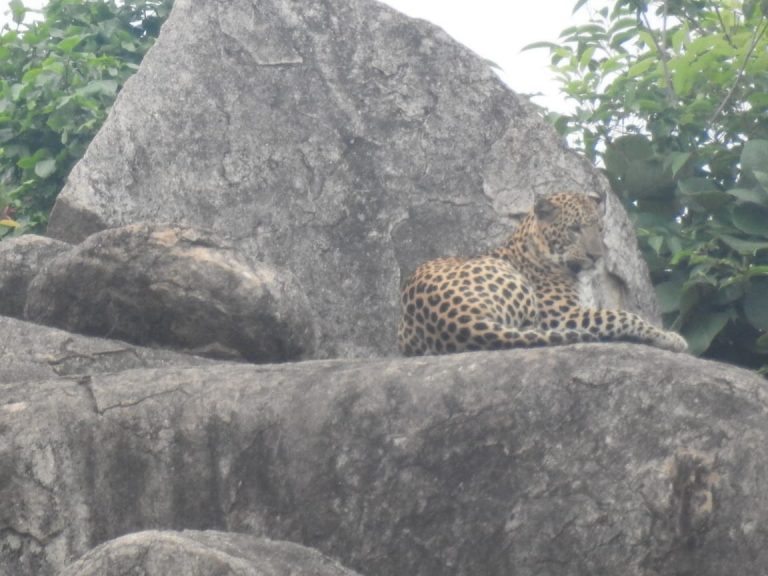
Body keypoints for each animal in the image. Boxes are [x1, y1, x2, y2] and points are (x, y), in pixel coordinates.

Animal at [398, 191, 688, 356]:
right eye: (575, 229)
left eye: (600, 229)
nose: (597, 256)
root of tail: (459, 320)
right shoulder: (562, 315)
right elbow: (623, 316)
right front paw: (670, 338)